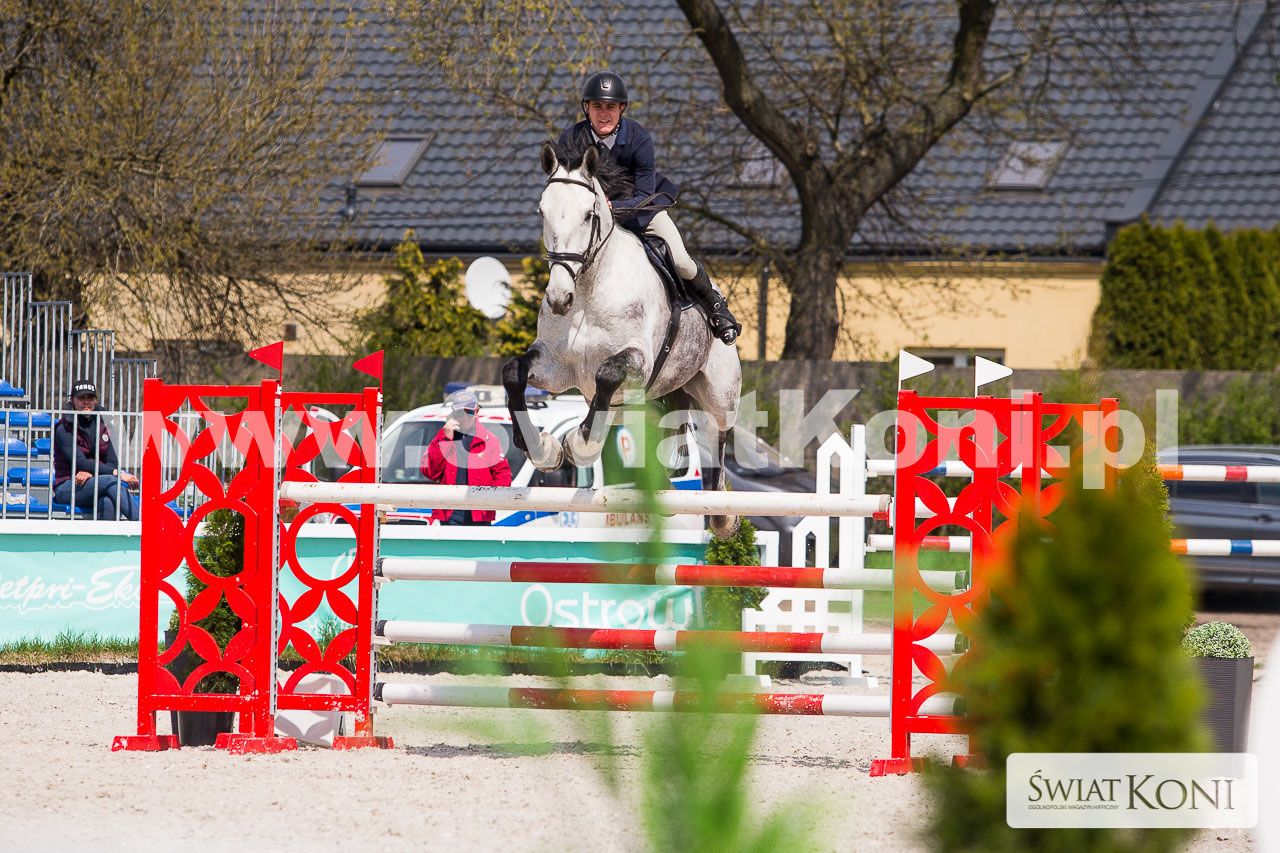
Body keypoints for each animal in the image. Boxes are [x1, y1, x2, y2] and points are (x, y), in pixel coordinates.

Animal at [502, 139, 742, 538]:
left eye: (588, 214)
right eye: (542, 211)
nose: (559, 298)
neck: (588, 289)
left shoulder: (635, 361)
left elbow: (607, 373)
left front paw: (579, 445)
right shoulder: (555, 366)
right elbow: (513, 373)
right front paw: (544, 449)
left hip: (719, 392)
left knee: (718, 435)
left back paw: (723, 516)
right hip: (646, 400)